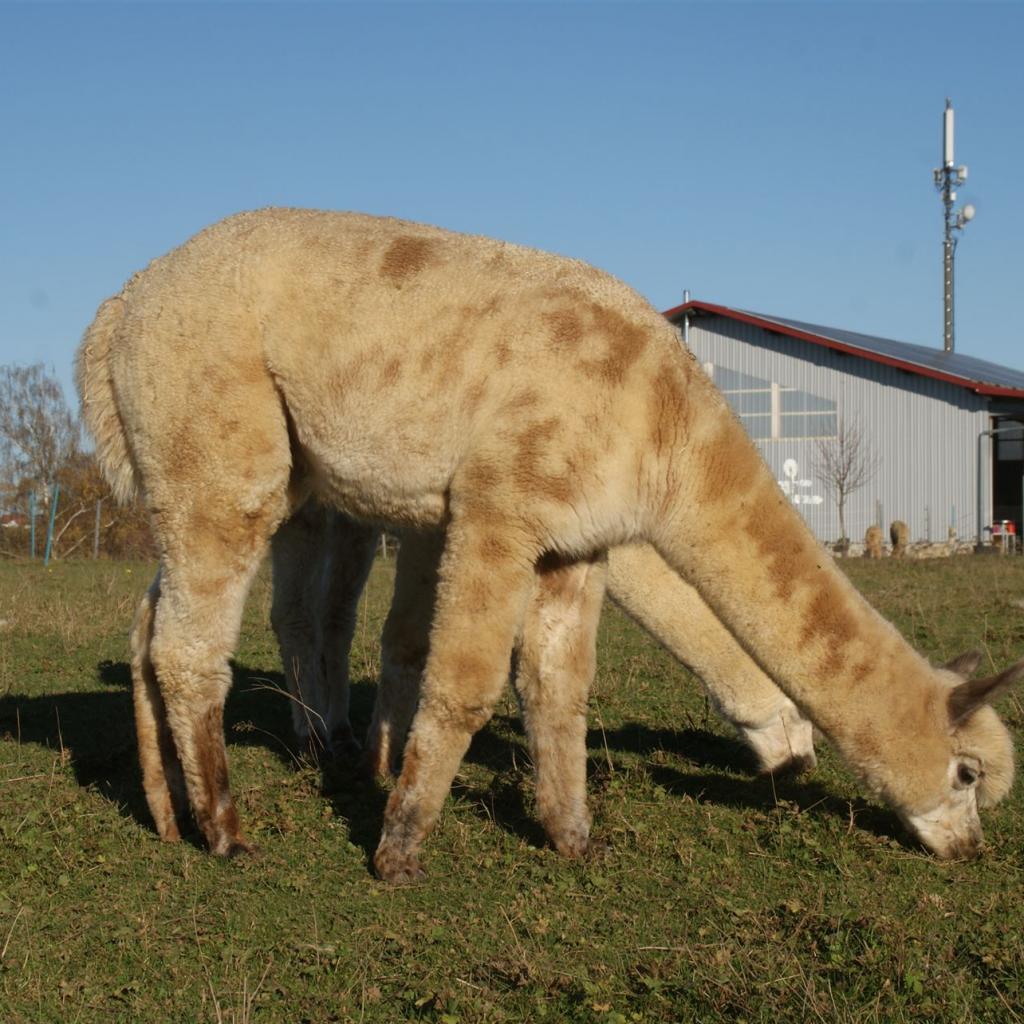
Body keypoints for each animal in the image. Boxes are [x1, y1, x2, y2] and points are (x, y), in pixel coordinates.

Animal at [76, 208, 1021, 880]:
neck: (662, 426)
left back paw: (168, 814)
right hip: (224, 440)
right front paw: (398, 848)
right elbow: (458, 681)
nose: (973, 852)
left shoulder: (576, 544)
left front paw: (572, 836)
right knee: (204, 644)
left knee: (154, 627)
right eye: (968, 775)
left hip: (212, 473)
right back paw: (229, 830)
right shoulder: (500, 505)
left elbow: (558, 690)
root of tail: (120, 306)